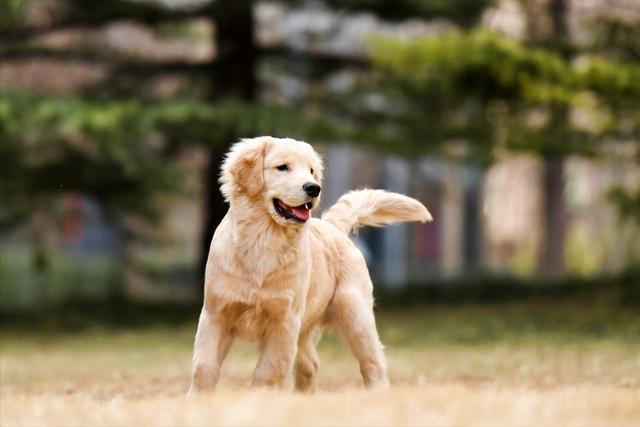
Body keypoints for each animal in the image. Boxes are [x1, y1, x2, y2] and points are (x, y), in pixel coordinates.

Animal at [188, 137, 432, 394]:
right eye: (282, 167)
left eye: (312, 170)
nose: (314, 188)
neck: (263, 240)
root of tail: (333, 227)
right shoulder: (215, 314)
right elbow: (204, 366)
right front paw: (199, 398)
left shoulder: (284, 321)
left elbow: (268, 370)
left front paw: (260, 397)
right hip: (307, 328)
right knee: (309, 364)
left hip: (354, 312)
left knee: (373, 361)